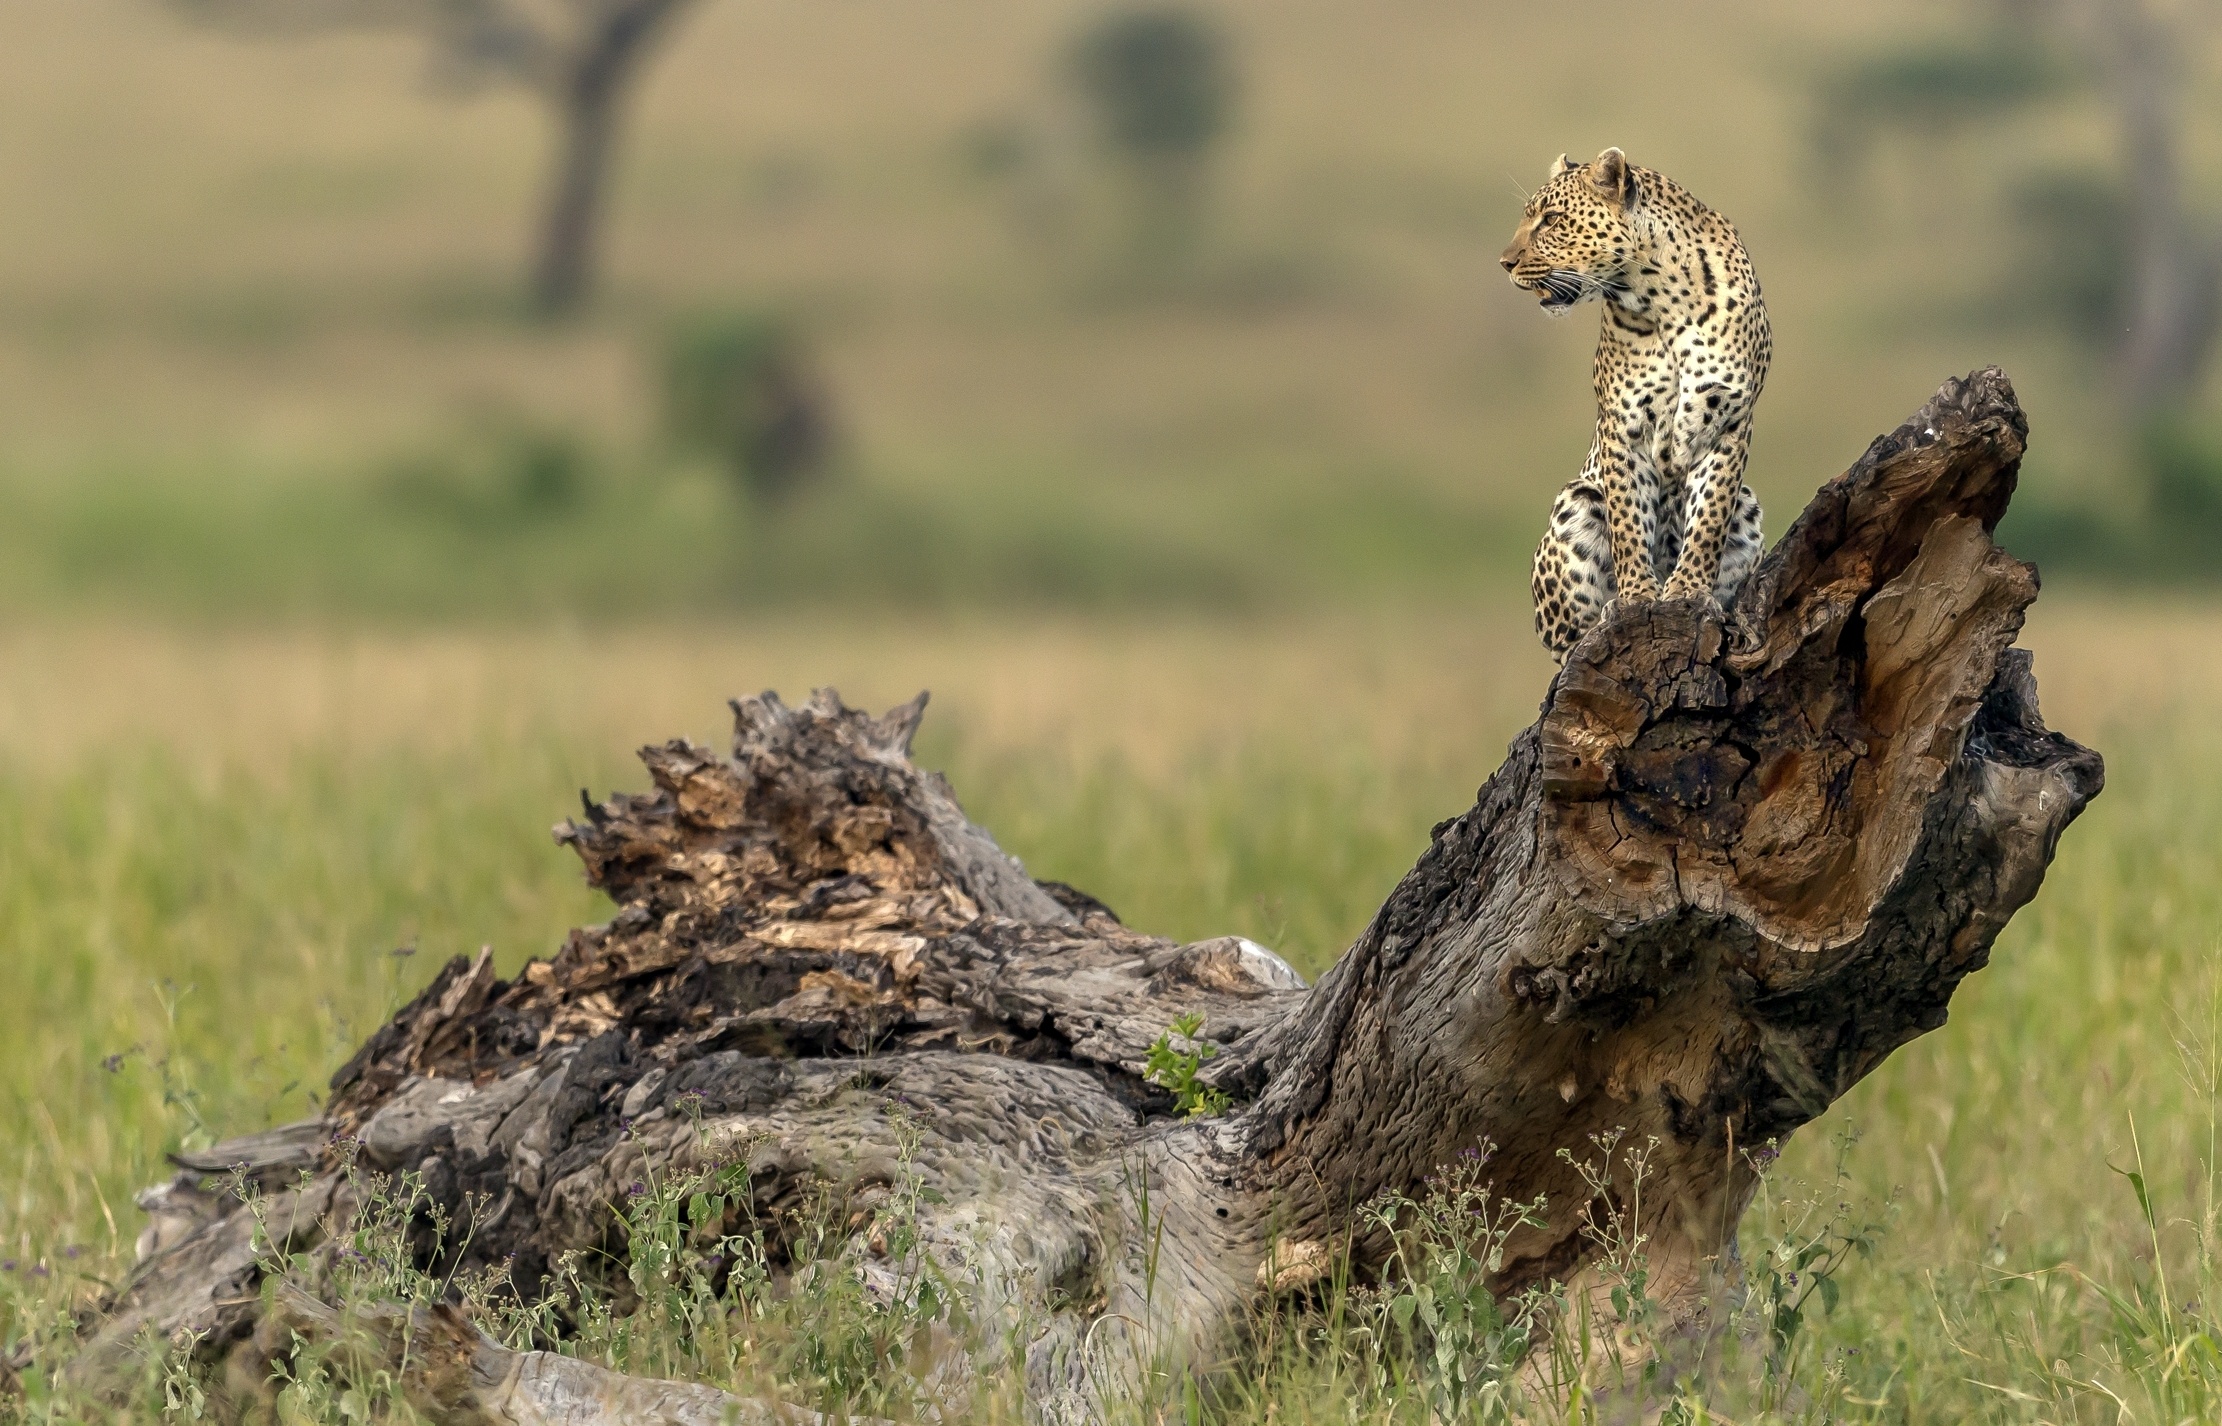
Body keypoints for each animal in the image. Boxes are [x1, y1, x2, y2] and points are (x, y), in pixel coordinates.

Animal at [1510, 146, 1768, 657]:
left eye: (1551, 219)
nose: (1504, 263)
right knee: (1565, 647)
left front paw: (1687, 590)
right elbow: (1628, 519)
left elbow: (1709, 518)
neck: (1662, 296)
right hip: (1576, 500)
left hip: (1748, 506)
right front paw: (1635, 598)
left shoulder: (1730, 420)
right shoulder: (1622, 425)